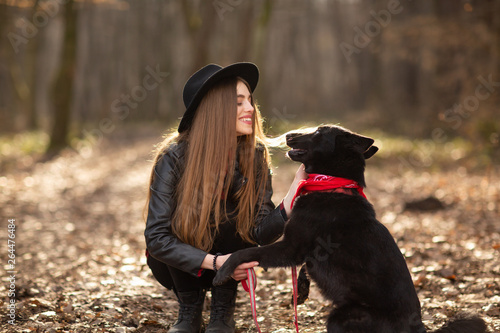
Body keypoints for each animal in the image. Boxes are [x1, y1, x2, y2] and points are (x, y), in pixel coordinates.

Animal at [213, 125, 486, 332]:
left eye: (318, 132)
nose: (288, 134)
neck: (331, 184)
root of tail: (417, 327)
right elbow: (302, 267)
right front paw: (301, 289)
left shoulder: (290, 248)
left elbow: (246, 253)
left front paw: (223, 270)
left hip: (341, 318)